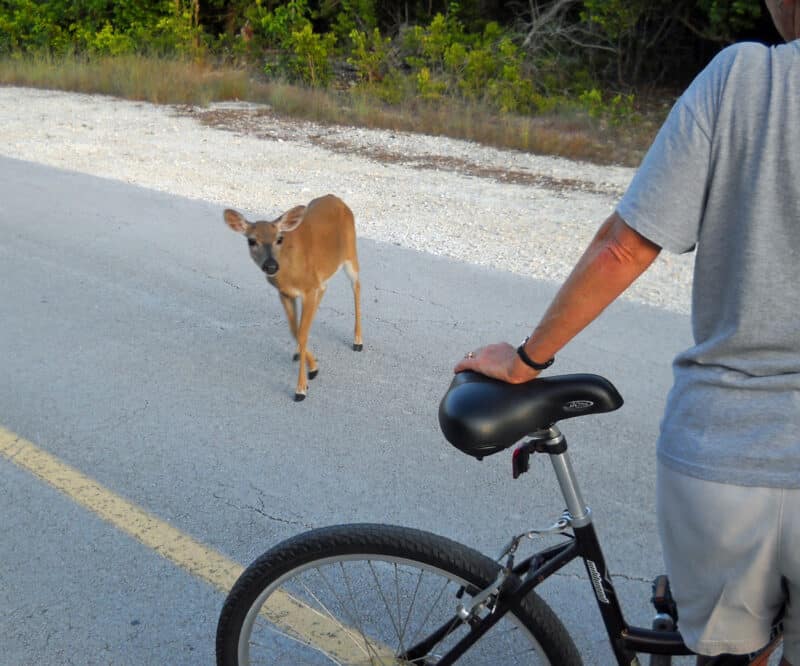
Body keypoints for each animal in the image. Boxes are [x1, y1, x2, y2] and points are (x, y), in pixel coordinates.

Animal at [224, 194, 363, 401]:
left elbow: (302, 333)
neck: (290, 271)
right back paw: (299, 353)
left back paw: (358, 341)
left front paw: (301, 388)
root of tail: (336, 199)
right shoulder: (286, 293)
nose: (271, 266)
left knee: (357, 286)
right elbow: (294, 330)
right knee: (325, 290)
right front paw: (312, 367)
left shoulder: (308, 290)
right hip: (323, 276)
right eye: (251, 241)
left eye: (279, 238)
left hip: (351, 253)